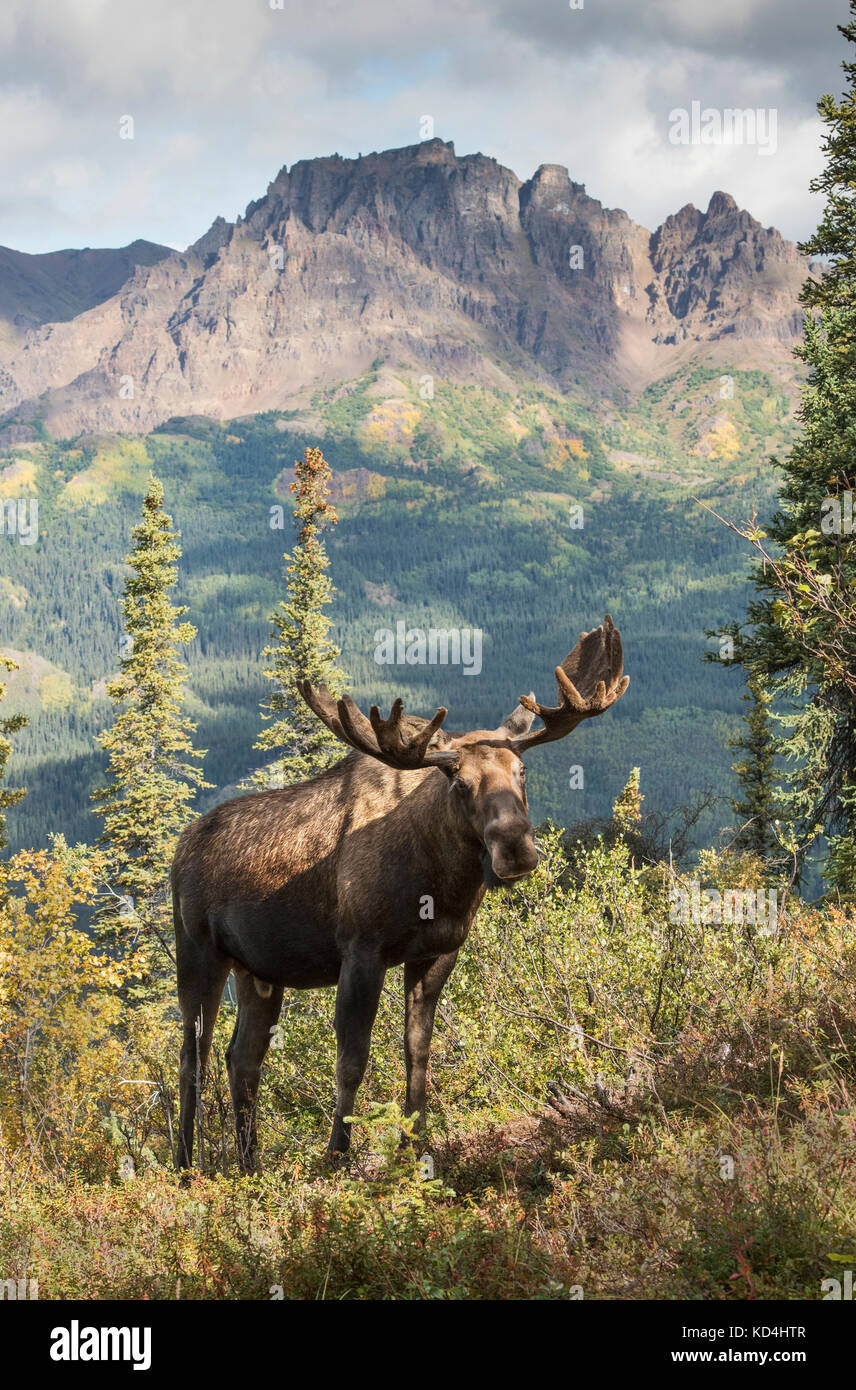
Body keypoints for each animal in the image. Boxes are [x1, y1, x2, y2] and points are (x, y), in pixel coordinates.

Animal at [173, 614, 628, 1167]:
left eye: (522, 771)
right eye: (460, 783)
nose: (516, 849)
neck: (440, 883)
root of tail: (179, 851)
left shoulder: (436, 952)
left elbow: (418, 1052)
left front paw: (416, 1144)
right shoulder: (360, 950)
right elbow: (352, 1059)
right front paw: (338, 1154)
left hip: (259, 970)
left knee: (241, 1056)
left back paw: (250, 1165)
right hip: (198, 952)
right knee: (192, 1058)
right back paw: (185, 1165)